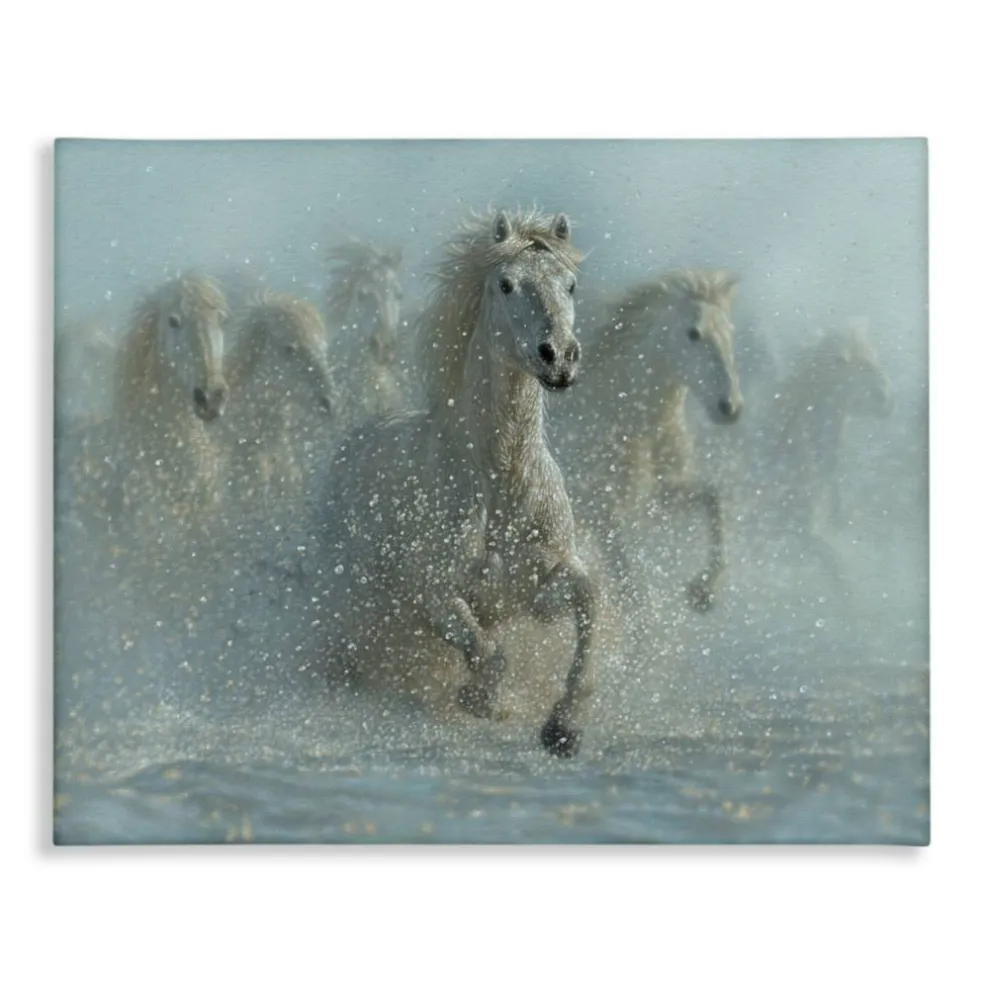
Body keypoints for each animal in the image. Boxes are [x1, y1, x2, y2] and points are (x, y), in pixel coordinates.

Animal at [556, 270, 743, 611]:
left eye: (730, 333)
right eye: (693, 333)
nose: (730, 407)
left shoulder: (661, 495)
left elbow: (714, 498)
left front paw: (703, 590)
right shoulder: (598, 509)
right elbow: (631, 587)